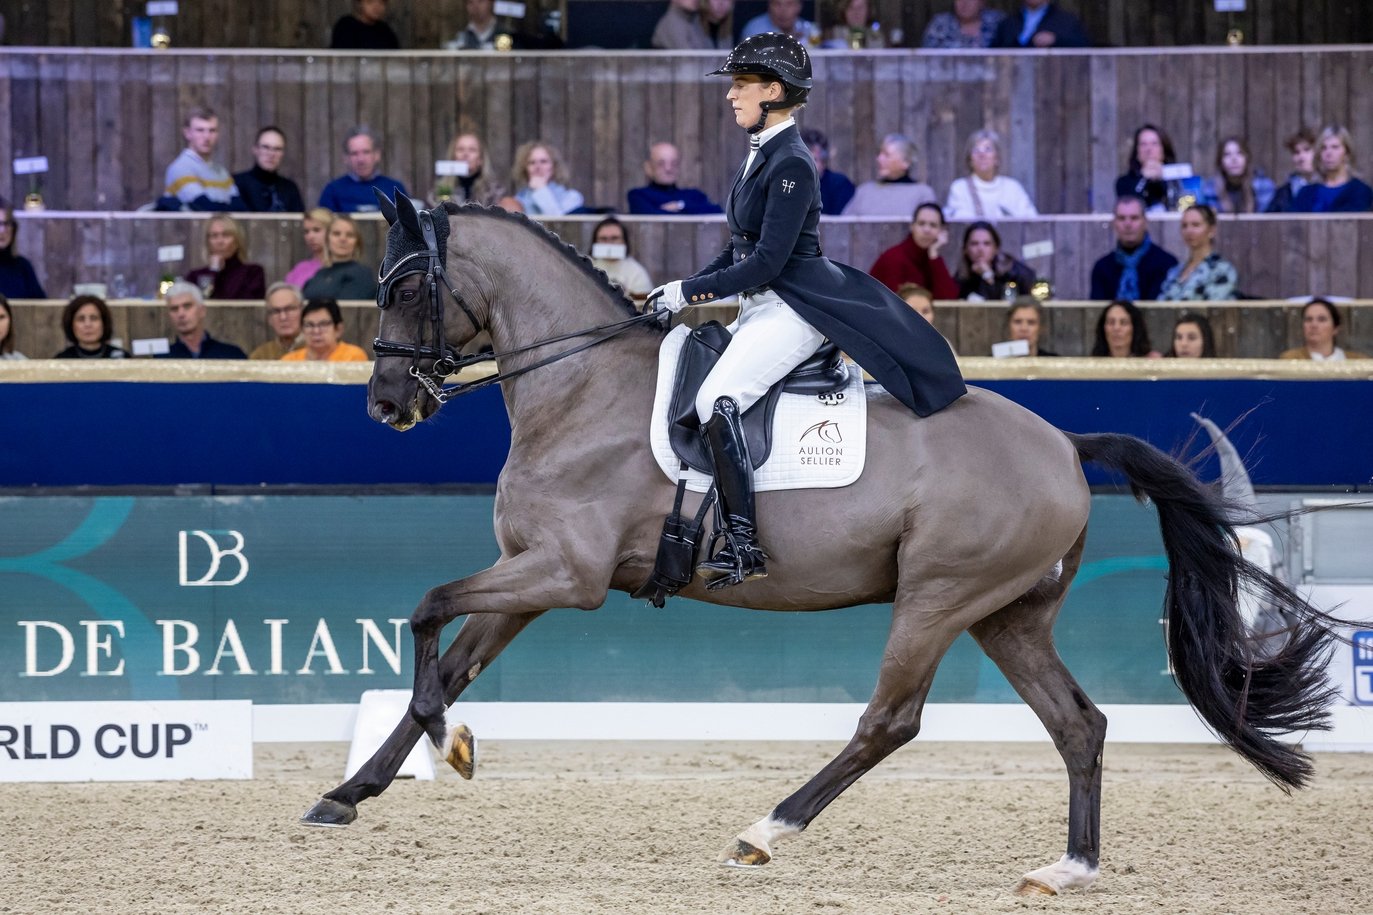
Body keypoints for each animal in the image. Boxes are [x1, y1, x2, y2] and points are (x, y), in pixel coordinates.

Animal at [297, 196, 1329, 895]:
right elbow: (449, 655)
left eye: (408, 286)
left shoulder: (566, 575)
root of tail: (1064, 444)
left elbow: (425, 608)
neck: (577, 385)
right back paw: (1068, 866)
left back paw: (766, 828)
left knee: (890, 721)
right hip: (1006, 615)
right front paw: (355, 786)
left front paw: (446, 740)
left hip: (937, 598)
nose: (386, 404)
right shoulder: (529, 578)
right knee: (1077, 723)